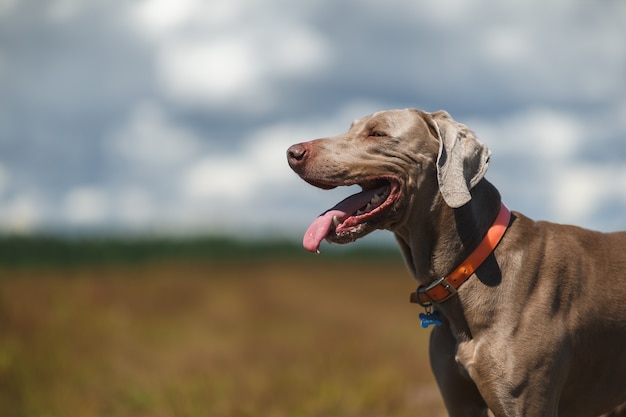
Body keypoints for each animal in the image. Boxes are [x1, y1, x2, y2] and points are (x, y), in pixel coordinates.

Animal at [286, 109, 620, 416]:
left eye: (377, 133)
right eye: (350, 128)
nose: (292, 153)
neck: (470, 264)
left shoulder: (526, 404)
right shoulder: (460, 401)